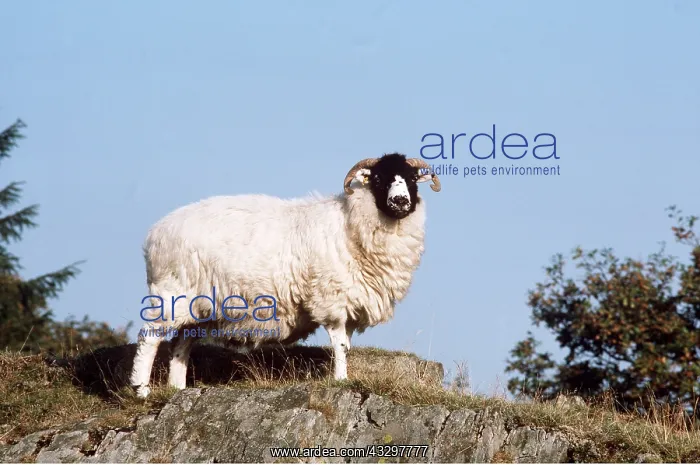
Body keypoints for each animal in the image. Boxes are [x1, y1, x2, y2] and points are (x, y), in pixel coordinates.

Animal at [130, 153, 441, 398]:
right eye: (378, 179)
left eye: (411, 179)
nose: (400, 201)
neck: (350, 224)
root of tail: (155, 234)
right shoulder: (331, 300)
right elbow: (341, 346)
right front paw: (341, 381)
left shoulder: (351, 304)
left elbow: (348, 347)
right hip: (170, 295)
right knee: (150, 337)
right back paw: (141, 390)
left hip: (198, 306)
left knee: (181, 343)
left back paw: (176, 389)